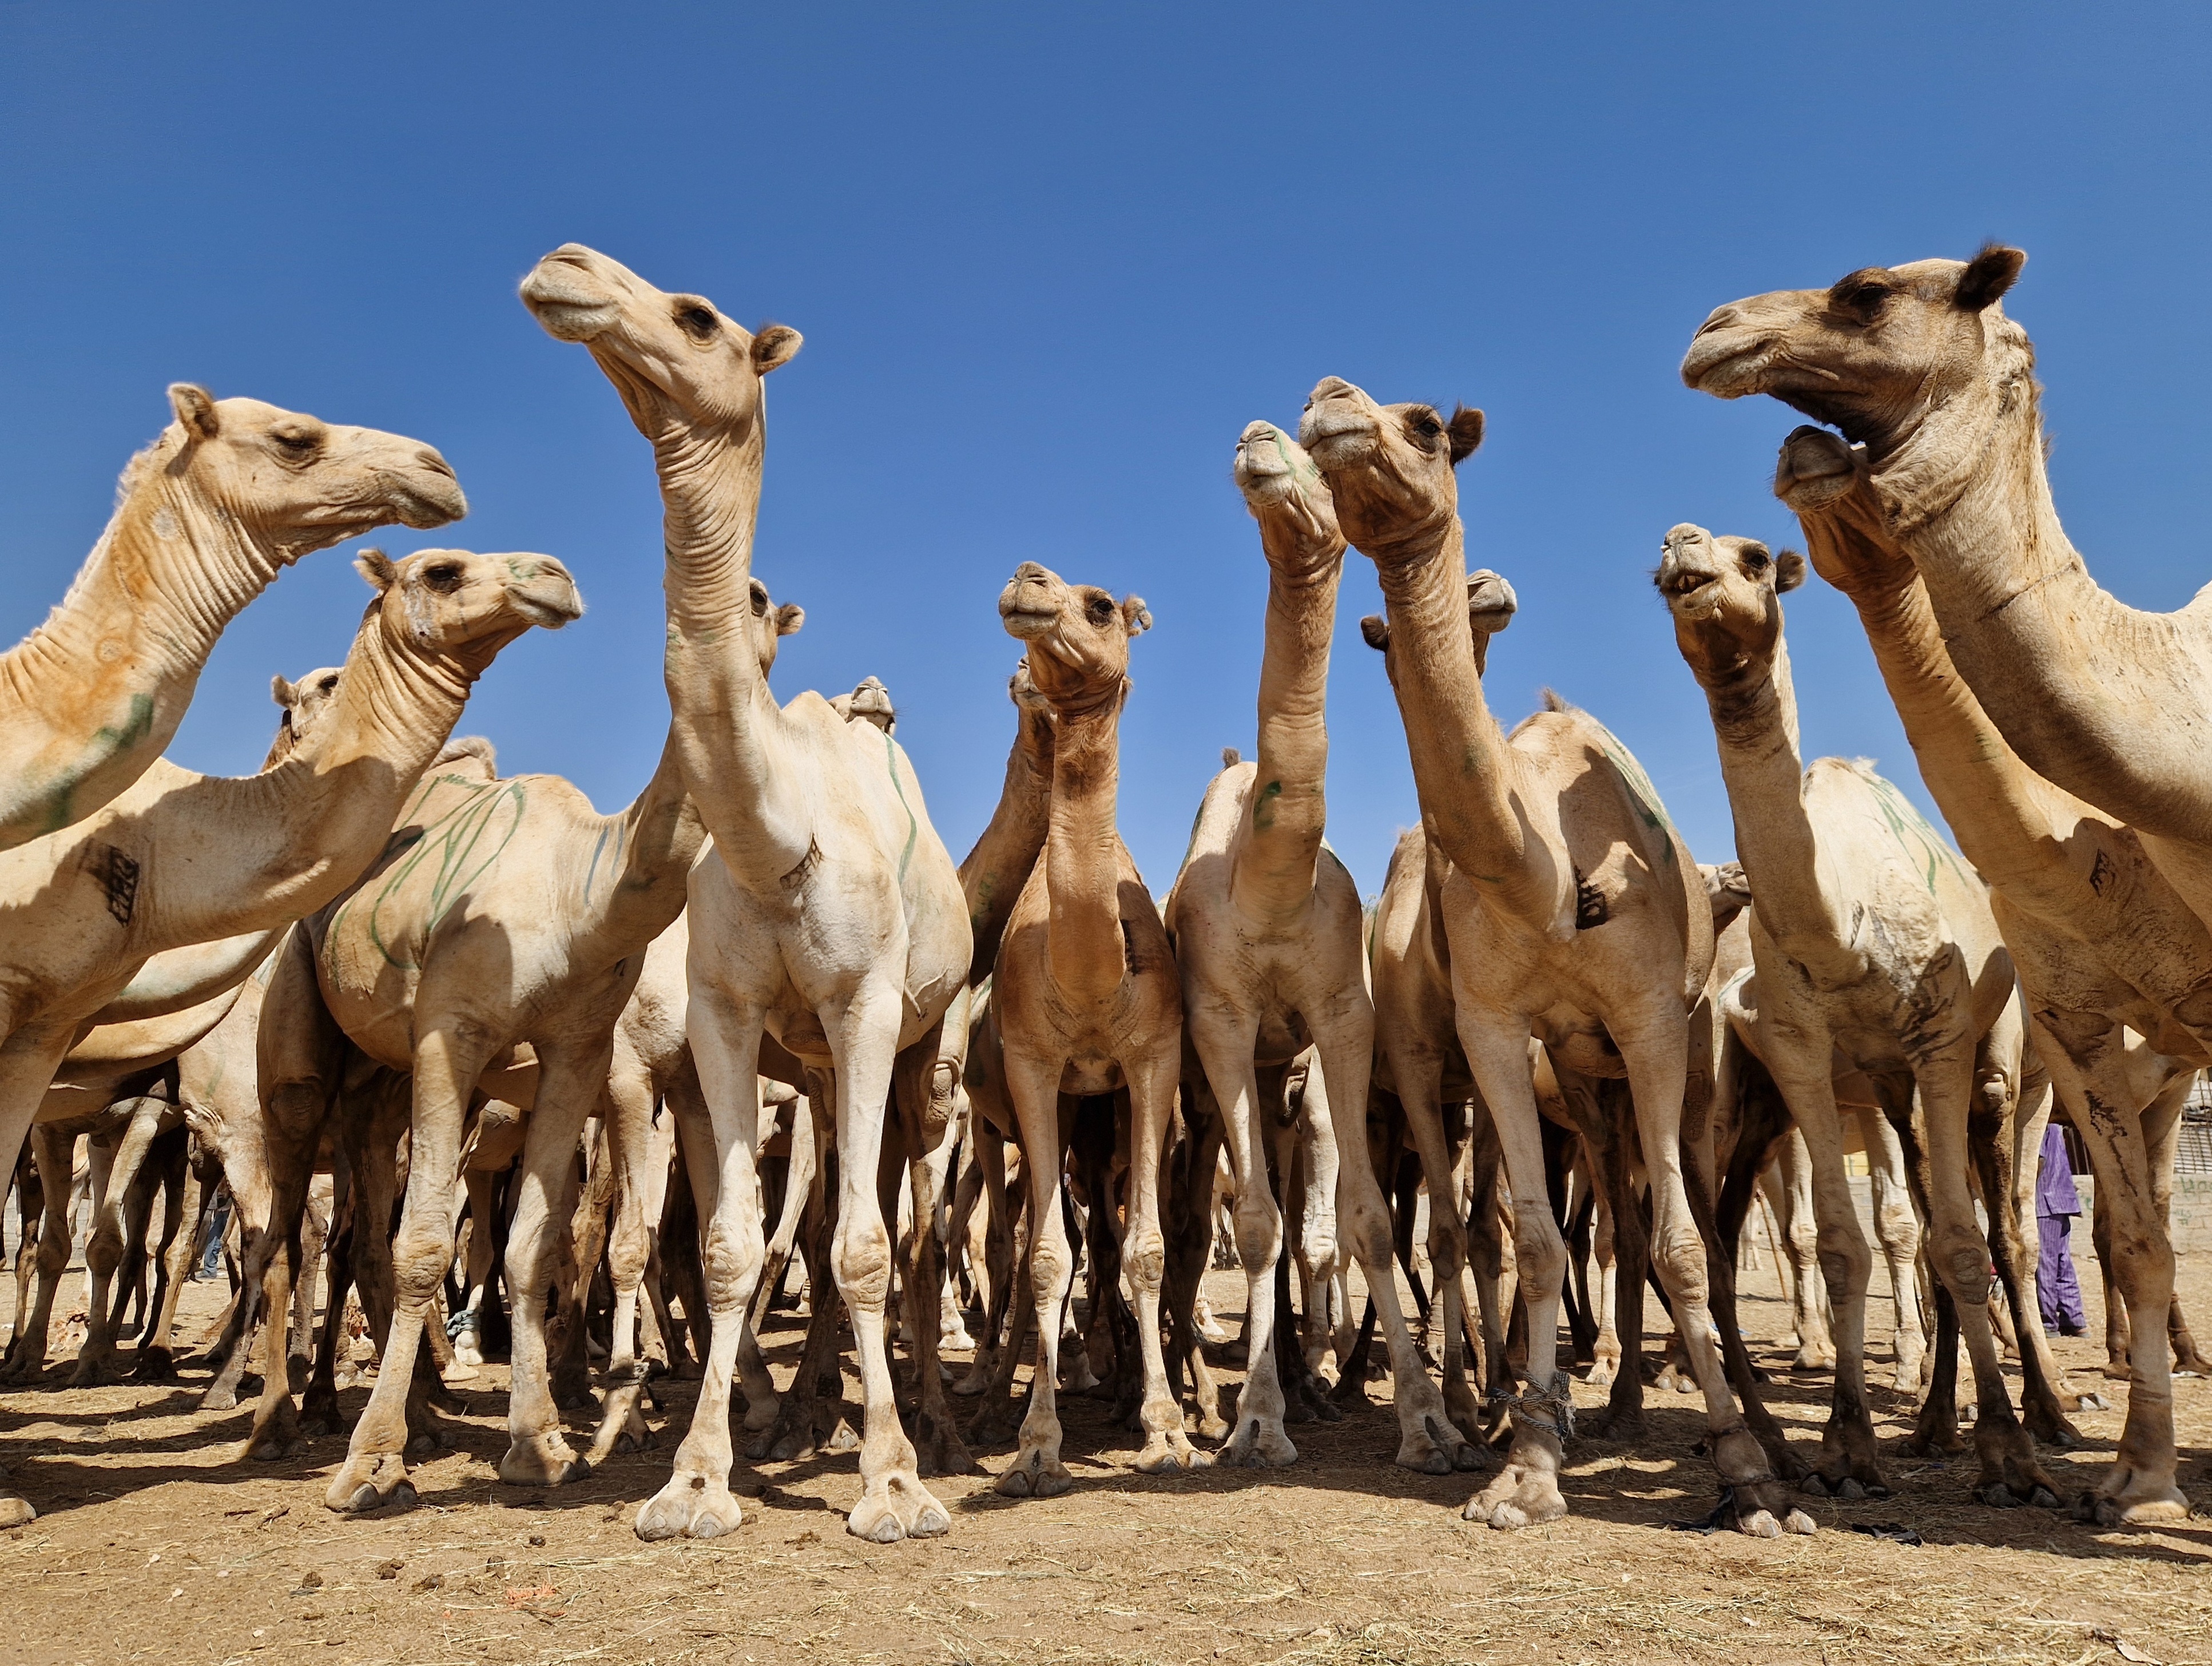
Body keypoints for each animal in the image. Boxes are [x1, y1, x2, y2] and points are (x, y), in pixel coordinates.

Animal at [522, 243, 970, 1544]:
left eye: (694, 316)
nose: (564, 267)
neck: (782, 841)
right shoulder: (722, 1015)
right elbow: (727, 1245)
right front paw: (693, 1479)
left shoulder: (867, 1004)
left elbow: (868, 1244)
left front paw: (892, 1484)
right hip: (803, 1068)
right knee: (811, 1223)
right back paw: (805, 1410)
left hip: (926, 1043)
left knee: (904, 1221)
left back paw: (917, 1425)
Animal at [1163, 421, 1472, 1473]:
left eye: (1319, 460)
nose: (1257, 440)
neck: (1269, 881)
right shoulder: (1219, 1018)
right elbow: (1256, 1222)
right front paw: (1256, 1421)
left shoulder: (1341, 1015)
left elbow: (1367, 1222)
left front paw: (1427, 1420)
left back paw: (1320, 1378)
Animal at [1299, 377, 1804, 1536]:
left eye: (1425, 426)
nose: (1329, 401)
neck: (1547, 871)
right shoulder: (1489, 1032)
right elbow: (1524, 1237)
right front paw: (1523, 1458)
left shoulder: (1651, 1021)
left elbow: (1676, 1244)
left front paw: (1744, 1472)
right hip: (1568, 1077)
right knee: (1582, 1215)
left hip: (1676, 1063)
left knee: (1684, 1223)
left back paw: (1750, 1428)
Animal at [1655, 521, 2064, 1506]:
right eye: (1661, 574)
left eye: (1753, 559)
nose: (1683, 545)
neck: (1838, 920)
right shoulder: (1801, 1050)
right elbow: (1848, 1243)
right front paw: (1846, 1446)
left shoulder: (1937, 1036)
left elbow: (1958, 1240)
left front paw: (2006, 1454)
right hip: (1856, 1093)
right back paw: (1929, 1420)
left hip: (1999, 1073)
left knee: (2001, 1229)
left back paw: (2045, 1411)